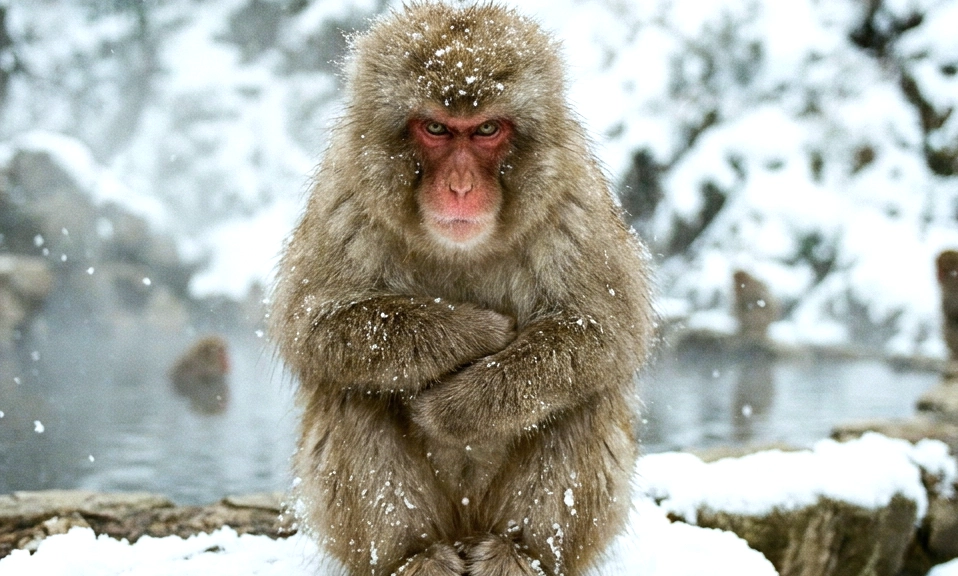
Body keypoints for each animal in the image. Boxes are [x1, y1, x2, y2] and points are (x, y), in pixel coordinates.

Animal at [270, 4, 654, 576]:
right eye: (435, 128)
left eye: (486, 129)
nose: (459, 186)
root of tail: (467, 527)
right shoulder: (346, 197)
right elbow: (311, 325)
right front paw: (473, 332)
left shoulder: (573, 201)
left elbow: (607, 333)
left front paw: (457, 408)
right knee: (352, 389)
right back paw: (413, 557)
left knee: (582, 395)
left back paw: (520, 555)